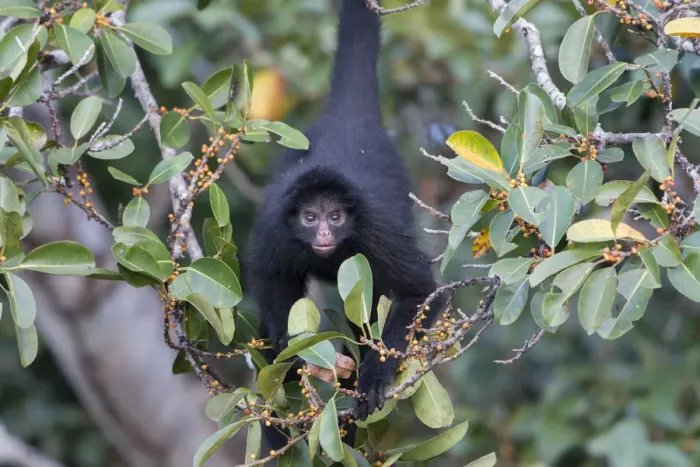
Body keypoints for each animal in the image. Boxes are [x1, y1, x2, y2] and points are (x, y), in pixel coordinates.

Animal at [245, 0, 443, 423]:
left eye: (335, 217)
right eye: (310, 218)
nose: (323, 234)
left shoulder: (377, 229)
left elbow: (420, 292)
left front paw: (373, 377)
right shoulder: (276, 224)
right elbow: (267, 275)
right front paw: (288, 346)